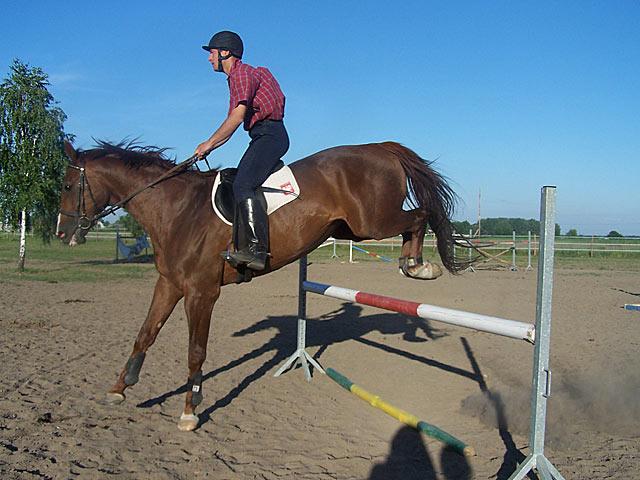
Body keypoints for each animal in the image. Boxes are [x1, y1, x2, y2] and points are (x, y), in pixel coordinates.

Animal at [56, 139, 464, 432]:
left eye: (68, 184)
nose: (61, 233)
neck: (177, 209)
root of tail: (380, 146)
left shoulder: (202, 292)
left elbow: (195, 351)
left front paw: (190, 410)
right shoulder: (169, 284)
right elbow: (145, 334)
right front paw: (119, 389)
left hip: (373, 223)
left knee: (421, 215)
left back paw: (418, 265)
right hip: (351, 229)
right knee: (415, 219)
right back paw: (412, 264)